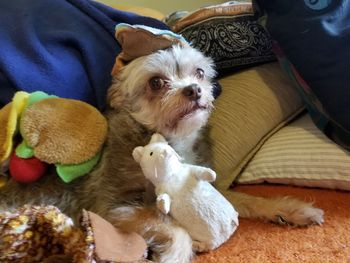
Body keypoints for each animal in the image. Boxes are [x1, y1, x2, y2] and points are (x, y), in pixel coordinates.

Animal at [0, 44, 324, 262]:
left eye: (200, 72)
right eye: (156, 82)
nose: (194, 89)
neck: (172, 144)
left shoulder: (207, 187)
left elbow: (249, 199)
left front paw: (291, 209)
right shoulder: (112, 209)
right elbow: (176, 230)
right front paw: (176, 253)